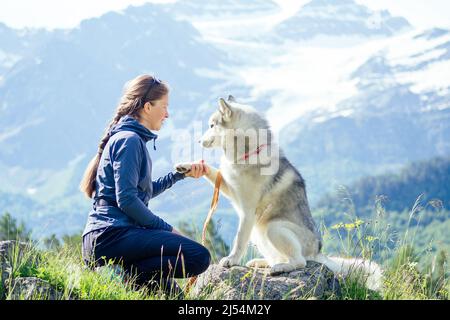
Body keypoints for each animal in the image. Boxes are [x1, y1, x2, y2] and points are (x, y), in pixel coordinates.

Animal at [175, 95, 380, 290]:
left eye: (211, 125)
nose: (198, 141)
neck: (248, 152)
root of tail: (318, 252)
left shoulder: (247, 212)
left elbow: (239, 240)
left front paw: (232, 260)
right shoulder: (231, 189)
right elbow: (211, 171)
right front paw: (189, 166)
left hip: (274, 228)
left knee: (300, 261)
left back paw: (281, 268)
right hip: (258, 232)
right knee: (279, 256)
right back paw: (263, 263)